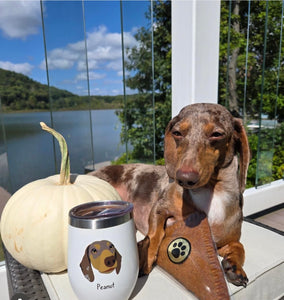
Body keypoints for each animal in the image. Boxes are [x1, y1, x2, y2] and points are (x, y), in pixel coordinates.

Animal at [91, 103, 251, 288]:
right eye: (177, 133)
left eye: (217, 134)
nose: (184, 178)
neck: (211, 192)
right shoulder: (159, 209)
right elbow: (154, 234)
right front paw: (146, 256)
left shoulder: (224, 241)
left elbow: (239, 246)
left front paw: (234, 266)